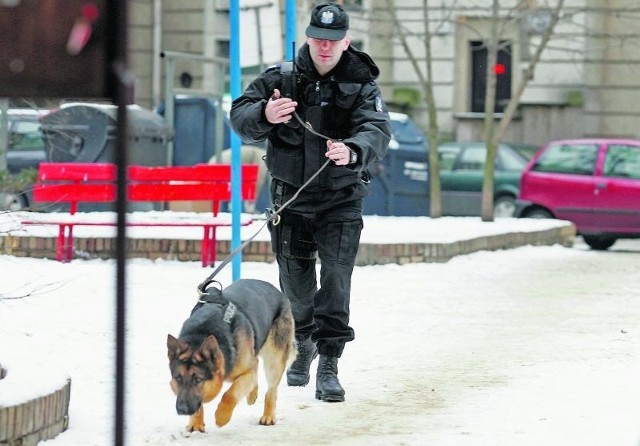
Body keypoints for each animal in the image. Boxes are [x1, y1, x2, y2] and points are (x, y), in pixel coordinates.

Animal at [165, 278, 296, 432]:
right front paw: (196, 423)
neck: (201, 334)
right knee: (256, 364)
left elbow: (230, 394)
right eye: (178, 378)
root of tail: (276, 290)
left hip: (273, 359)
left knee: (271, 390)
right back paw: (252, 393)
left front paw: (222, 417)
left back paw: (268, 416)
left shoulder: (246, 374)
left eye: (198, 379)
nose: (182, 409)